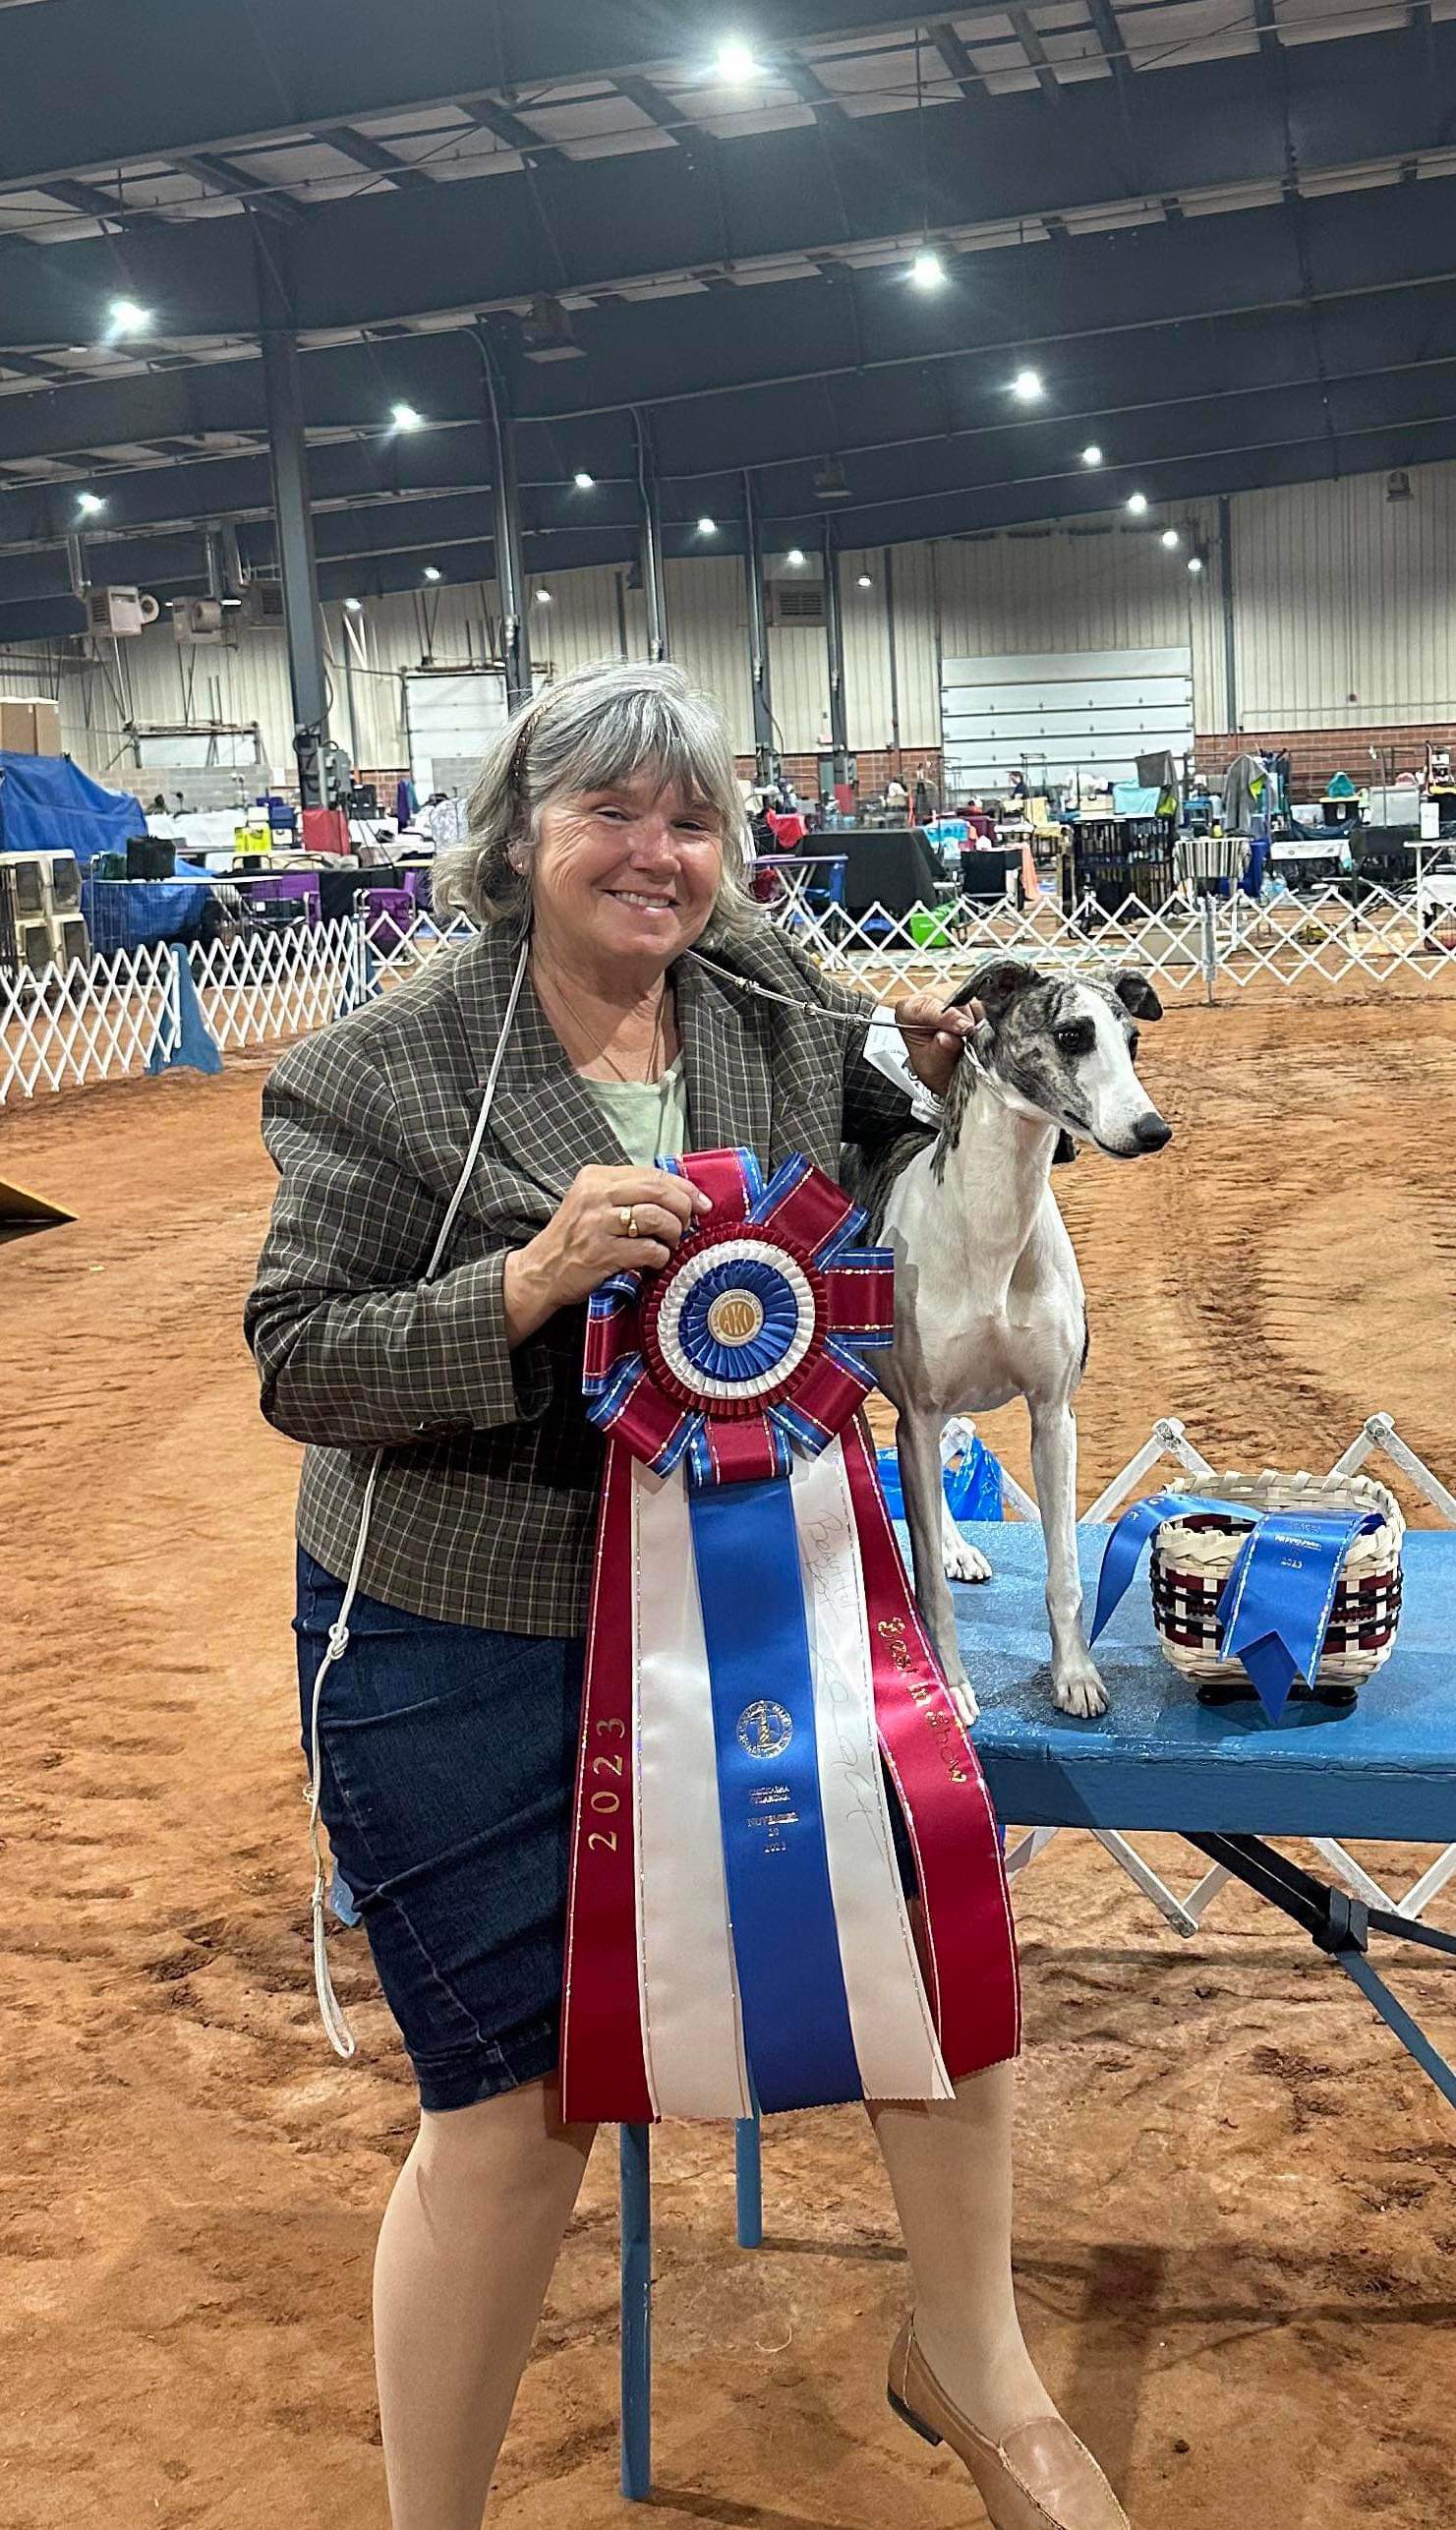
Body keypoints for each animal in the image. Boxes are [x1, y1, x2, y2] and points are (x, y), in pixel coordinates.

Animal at [847, 958, 1172, 1720]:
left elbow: (1065, 1573)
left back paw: (957, 1547)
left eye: (1132, 1041)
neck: (991, 1228)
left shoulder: (1053, 1415)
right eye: (1070, 1034)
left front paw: (1076, 1675)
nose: (1152, 1130)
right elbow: (928, 1592)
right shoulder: (917, 1408)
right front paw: (949, 1686)